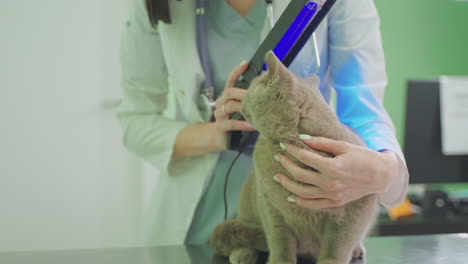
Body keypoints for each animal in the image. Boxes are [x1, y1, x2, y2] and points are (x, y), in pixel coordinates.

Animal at [210, 50, 378, 262]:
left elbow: (336, 248)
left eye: (252, 86)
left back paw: (357, 249)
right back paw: (242, 253)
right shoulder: (271, 207)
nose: (243, 97)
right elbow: (280, 242)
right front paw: (279, 261)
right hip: (247, 201)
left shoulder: (355, 212)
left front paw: (332, 259)